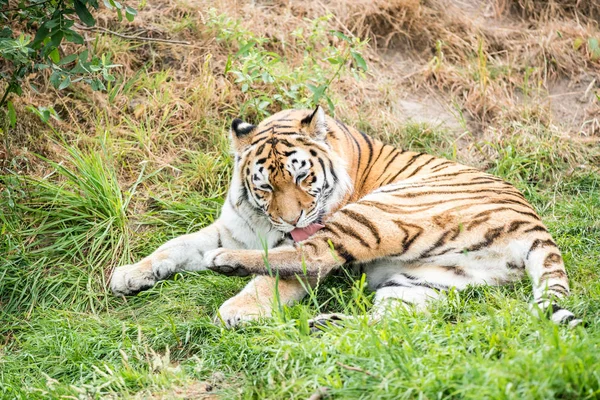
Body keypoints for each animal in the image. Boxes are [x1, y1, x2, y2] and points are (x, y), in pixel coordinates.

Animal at [109, 106, 580, 328]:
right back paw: (324, 325)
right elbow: (175, 245)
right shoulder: (233, 228)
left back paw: (227, 267)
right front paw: (129, 275)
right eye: (266, 186)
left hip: (378, 211)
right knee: (386, 325)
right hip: (426, 281)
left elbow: (277, 276)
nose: (292, 222)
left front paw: (239, 310)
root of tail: (535, 225)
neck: (264, 224)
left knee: (314, 257)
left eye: (303, 176)